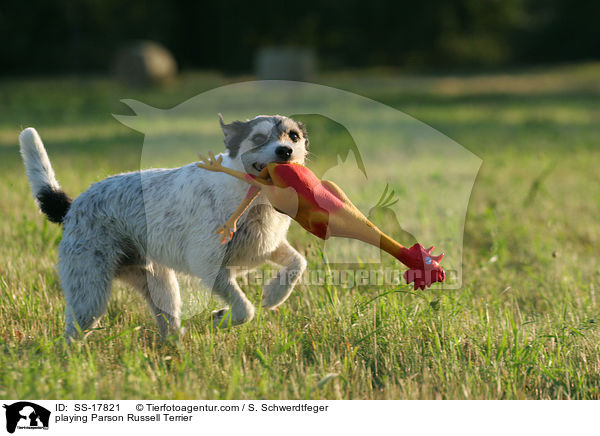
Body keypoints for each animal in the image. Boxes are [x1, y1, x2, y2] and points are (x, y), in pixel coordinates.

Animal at [18, 114, 310, 338]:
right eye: (259, 138)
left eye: (293, 136)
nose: (285, 151)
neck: (251, 197)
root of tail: (72, 207)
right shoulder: (209, 266)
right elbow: (246, 310)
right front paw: (222, 318)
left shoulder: (266, 246)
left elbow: (298, 263)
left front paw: (274, 295)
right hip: (89, 296)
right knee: (73, 332)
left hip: (160, 286)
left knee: (167, 323)